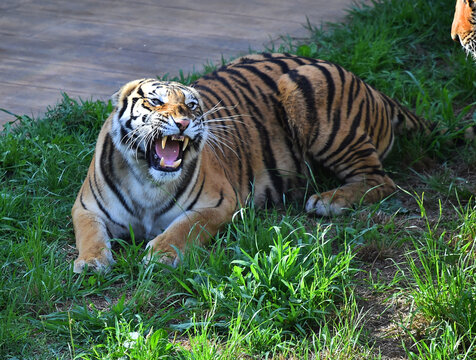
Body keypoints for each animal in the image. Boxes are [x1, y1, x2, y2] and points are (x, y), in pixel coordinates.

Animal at [72, 52, 474, 272]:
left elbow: (184, 228)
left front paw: (161, 252)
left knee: (380, 180)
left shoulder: (219, 202)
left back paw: (328, 201)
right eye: (155, 102)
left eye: (192, 106)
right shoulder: (86, 207)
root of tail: (370, 86)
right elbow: (89, 234)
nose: (185, 122)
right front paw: (91, 262)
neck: (148, 178)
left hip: (308, 95)